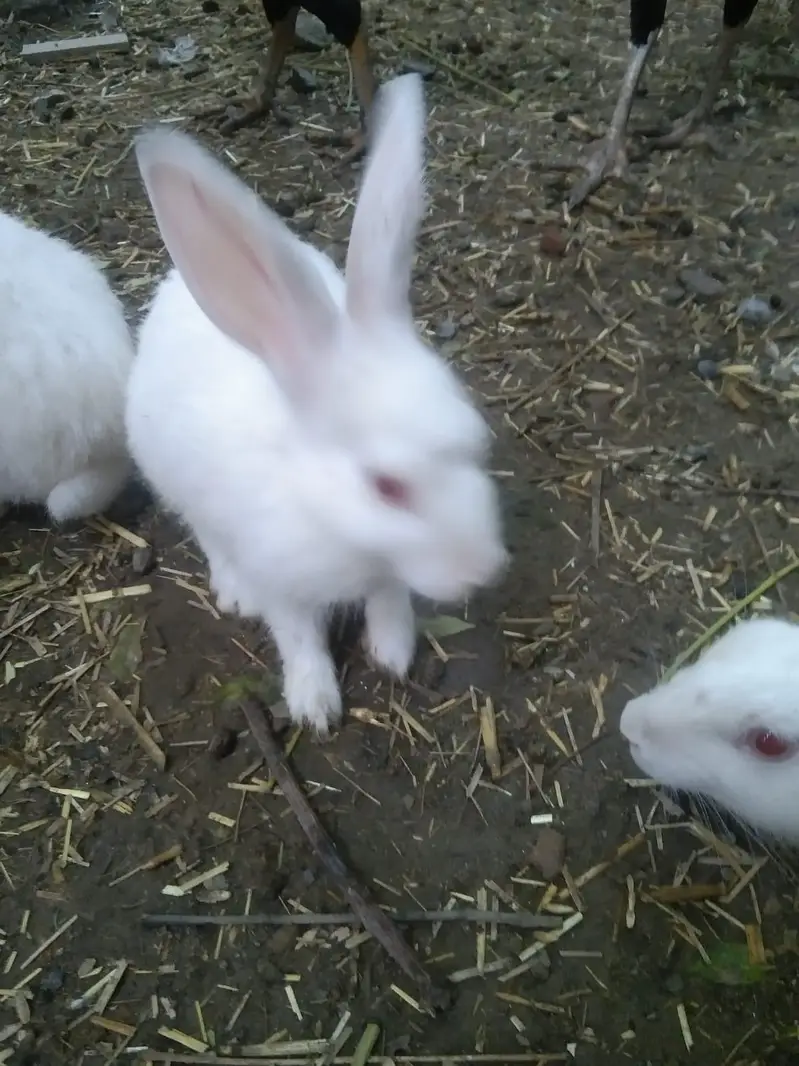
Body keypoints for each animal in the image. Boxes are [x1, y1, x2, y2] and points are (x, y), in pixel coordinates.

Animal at [126, 72, 508, 736]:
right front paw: (315, 705)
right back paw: (232, 588)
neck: (333, 523)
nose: (483, 568)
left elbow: (389, 598)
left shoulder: (384, 572)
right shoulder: (284, 581)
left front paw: (393, 652)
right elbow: (298, 636)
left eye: (476, 441)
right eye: (386, 487)